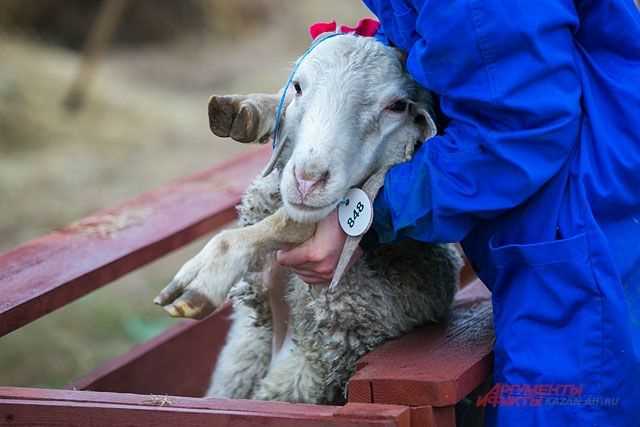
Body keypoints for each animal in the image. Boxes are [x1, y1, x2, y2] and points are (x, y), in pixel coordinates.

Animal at [155, 30, 464, 404]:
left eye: (398, 106)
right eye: (299, 86)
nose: (308, 180)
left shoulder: (307, 369)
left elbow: (280, 224)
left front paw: (206, 274)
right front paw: (247, 111)